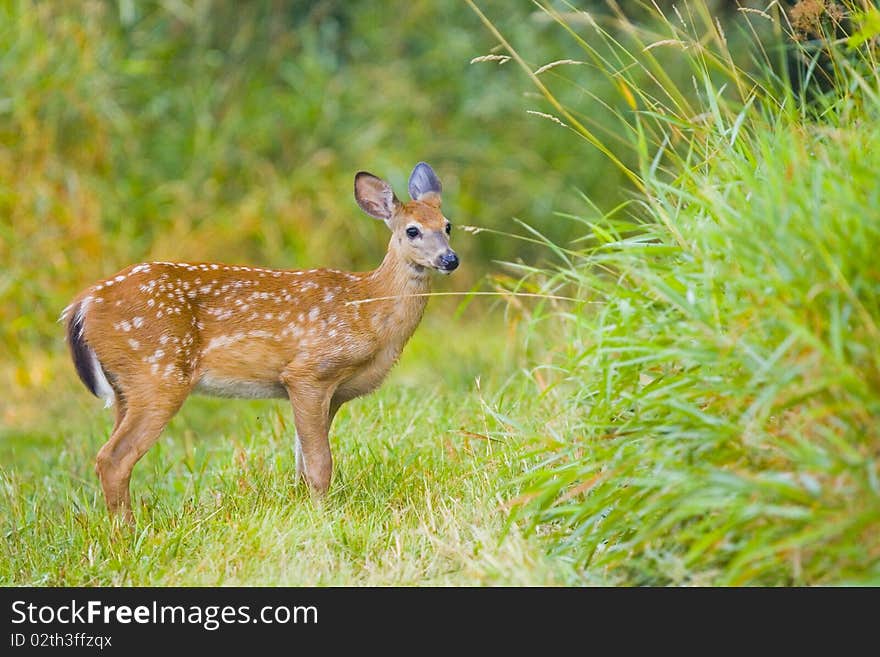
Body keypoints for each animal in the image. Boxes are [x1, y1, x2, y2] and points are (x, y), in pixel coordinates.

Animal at [61, 163, 458, 524]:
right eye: (412, 230)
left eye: (447, 225)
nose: (449, 259)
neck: (369, 309)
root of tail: (83, 304)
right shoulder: (309, 372)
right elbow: (320, 463)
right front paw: (322, 517)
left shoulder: (333, 393)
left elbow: (302, 463)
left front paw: (307, 511)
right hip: (158, 374)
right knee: (113, 458)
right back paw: (128, 533)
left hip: (125, 388)